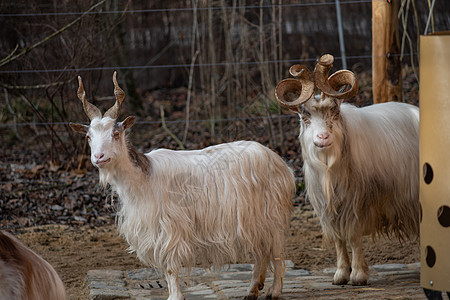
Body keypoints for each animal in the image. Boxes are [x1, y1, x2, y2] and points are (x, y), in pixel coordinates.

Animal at [70, 73, 296, 300]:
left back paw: (274, 291)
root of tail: (279, 161)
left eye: (115, 134)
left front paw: (175, 296)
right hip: (253, 220)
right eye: (88, 137)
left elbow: (170, 266)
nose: (98, 157)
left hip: (272, 216)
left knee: (276, 254)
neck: (142, 180)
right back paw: (252, 290)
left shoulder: (170, 227)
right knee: (261, 253)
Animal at [276, 54, 420, 286]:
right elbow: (338, 240)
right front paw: (341, 274)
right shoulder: (328, 207)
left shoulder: (357, 202)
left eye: (334, 112)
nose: (322, 138)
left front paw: (358, 275)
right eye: (305, 117)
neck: (330, 168)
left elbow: (352, 237)